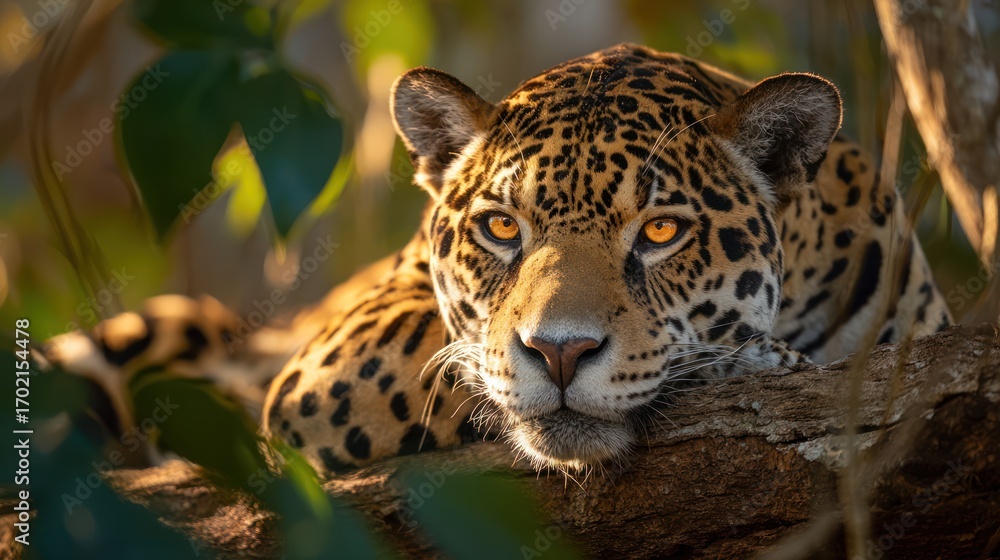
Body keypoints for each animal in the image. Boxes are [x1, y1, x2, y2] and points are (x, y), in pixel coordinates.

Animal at [45, 44, 952, 477]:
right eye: (502, 228)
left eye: (661, 231)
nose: (560, 352)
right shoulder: (335, 357)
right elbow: (459, 353)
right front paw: (755, 360)